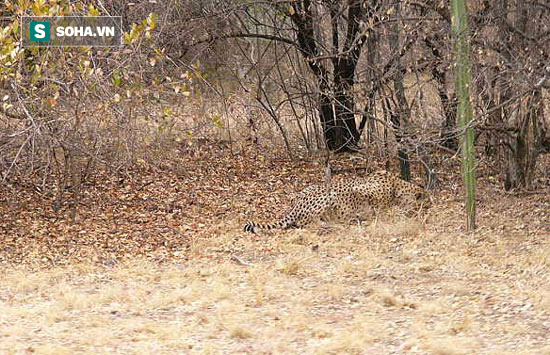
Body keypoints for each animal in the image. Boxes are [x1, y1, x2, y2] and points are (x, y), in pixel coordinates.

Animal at [246, 170, 432, 234]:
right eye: (427, 204)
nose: (428, 211)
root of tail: (295, 207)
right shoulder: (360, 189)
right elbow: (365, 199)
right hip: (325, 198)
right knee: (305, 223)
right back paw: (331, 224)